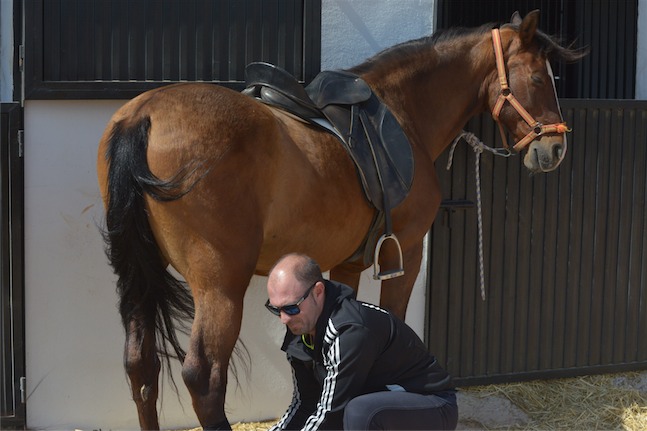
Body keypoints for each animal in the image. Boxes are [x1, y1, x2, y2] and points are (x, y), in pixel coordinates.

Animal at [96, 10, 588, 431]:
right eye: (540, 77)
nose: (555, 150)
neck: (404, 113)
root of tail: (142, 114)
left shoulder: (346, 263)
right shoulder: (408, 250)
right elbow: (396, 321)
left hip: (141, 272)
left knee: (140, 365)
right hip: (220, 284)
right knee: (204, 377)